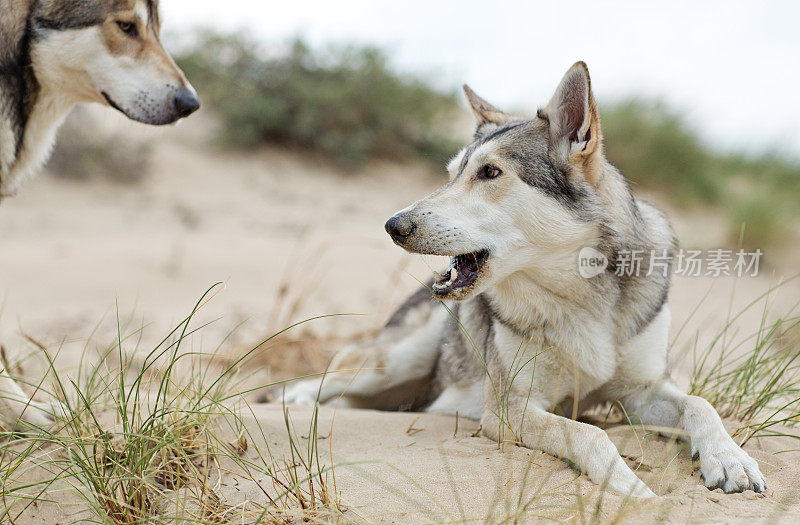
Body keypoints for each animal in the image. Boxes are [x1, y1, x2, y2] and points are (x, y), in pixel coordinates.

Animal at [280, 61, 764, 496]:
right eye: (451, 174)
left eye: (489, 172)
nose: (393, 225)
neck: (579, 296)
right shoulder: (509, 408)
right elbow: (590, 433)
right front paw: (630, 487)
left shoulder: (642, 391)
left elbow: (701, 405)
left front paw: (731, 461)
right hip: (395, 362)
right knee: (336, 368)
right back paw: (294, 399)